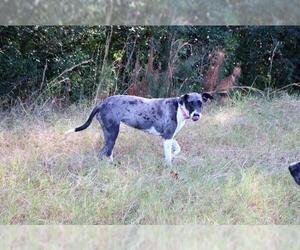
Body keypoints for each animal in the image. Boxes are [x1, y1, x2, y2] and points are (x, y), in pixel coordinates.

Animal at [65, 93, 213, 165]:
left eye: (200, 103)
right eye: (190, 103)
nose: (196, 115)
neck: (180, 108)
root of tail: (101, 103)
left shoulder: (168, 136)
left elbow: (177, 149)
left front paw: (174, 155)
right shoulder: (167, 137)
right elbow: (168, 158)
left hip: (109, 134)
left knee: (108, 152)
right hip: (113, 133)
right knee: (102, 153)